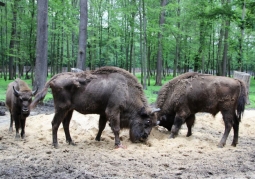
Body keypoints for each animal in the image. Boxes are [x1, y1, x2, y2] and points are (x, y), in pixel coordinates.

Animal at [30, 66, 159, 148]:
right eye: (147, 122)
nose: (144, 137)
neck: (126, 89)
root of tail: (54, 78)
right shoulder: (113, 111)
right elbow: (116, 128)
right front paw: (118, 144)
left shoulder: (104, 113)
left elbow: (101, 126)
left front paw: (97, 139)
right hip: (61, 108)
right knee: (55, 123)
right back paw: (56, 144)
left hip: (69, 110)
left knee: (65, 124)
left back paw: (71, 142)